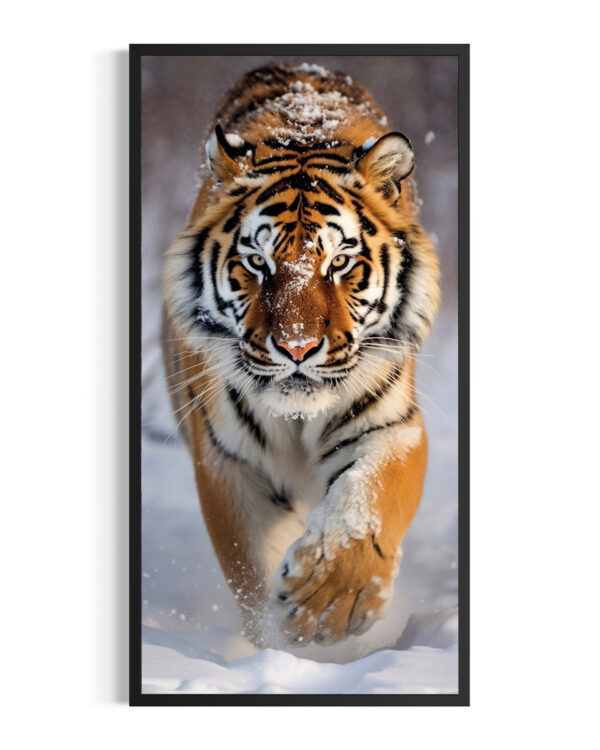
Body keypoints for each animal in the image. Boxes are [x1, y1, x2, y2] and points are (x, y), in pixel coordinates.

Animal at [162, 62, 440, 647]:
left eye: (339, 263)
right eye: (257, 262)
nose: (295, 346)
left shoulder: (392, 425)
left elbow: (368, 502)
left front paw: (327, 602)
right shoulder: (226, 457)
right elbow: (253, 564)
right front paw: (280, 644)